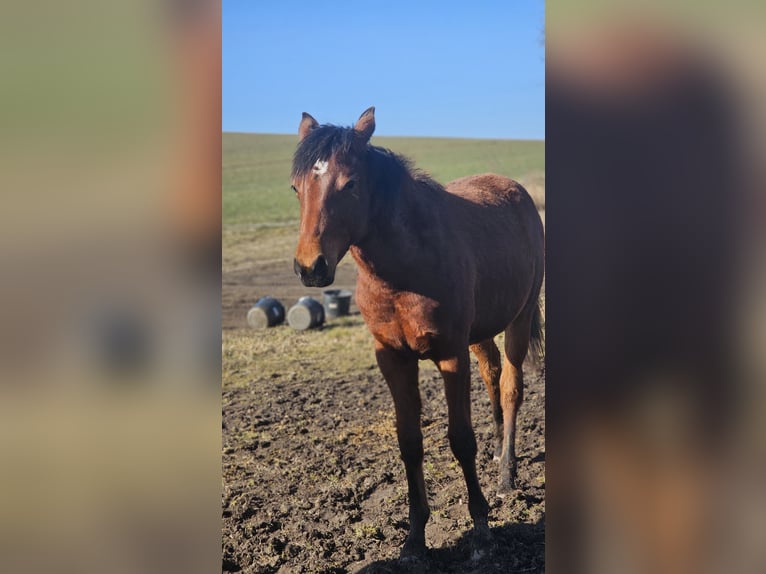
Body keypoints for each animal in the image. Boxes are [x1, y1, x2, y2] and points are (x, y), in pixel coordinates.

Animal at [291, 107, 545, 559]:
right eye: (296, 188)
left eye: (350, 183)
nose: (310, 267)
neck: (406, 268)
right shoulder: (393, 358)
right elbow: (409, 441)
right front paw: (414, 537)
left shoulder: (450, 354)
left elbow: (460, 439)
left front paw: (481, 530)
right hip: (479, 334)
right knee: (493, 374)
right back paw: (499, 450)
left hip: (519, 317)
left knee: (512, 387)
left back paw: (506, 475)